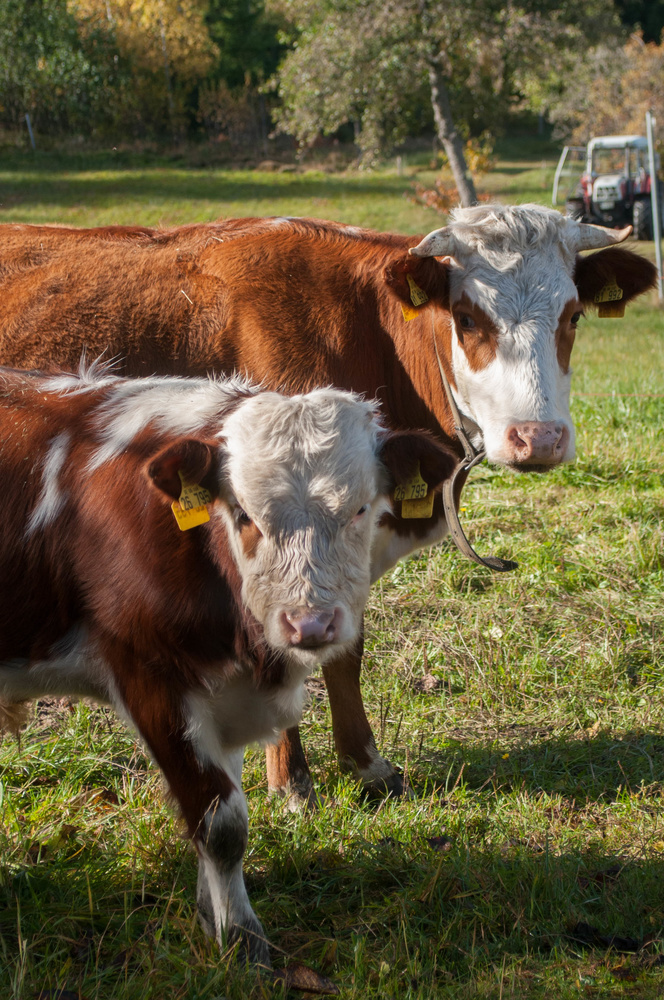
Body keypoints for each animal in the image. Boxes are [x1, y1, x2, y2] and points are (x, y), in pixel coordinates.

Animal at [0, 203, 656, 805]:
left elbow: (347, 651)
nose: (538, 438)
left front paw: (365, 764)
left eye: (573, 315)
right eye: (469, 318)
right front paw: (291, 780)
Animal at [0, 364, 457, 963]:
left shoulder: (226, 698)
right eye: (243, 514)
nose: (310, 625)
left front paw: (211, 917)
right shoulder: (150, 677)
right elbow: (220, 823)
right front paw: (244, 941)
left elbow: (221, 810)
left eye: (361, 509)